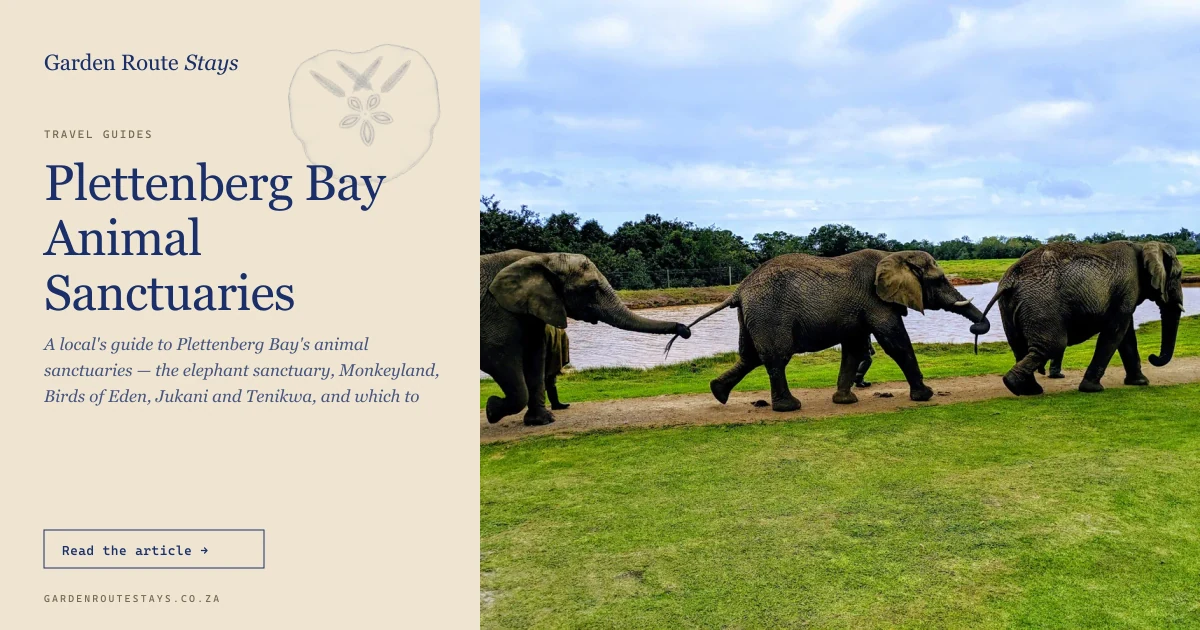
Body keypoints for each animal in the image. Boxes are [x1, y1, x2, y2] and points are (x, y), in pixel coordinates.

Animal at [481, 250, 691, 425]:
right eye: (591, 286)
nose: (684, 329)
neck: (541, 256)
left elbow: (535, 358)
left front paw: (541, 422)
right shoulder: (498, 312)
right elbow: (499, 358)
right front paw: (491, 410)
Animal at [667, 250, 991, 411]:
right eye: (938, 280)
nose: (976, 325)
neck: (896, 254)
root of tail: (739, 289)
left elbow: (855, 348)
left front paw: (844, 401)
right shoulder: (875, 300)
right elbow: (895, 341)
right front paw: (925, 396)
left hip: (751, 315)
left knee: (749, 357)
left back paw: (718, 393)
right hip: (770, 312)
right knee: (776, 357)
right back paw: (789, 407)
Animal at [979, 241, 1184, 396]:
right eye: (1179, 275)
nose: (1153, 356)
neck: (1143, 246)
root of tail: (1010, 280)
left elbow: (1126, 335)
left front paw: (1140, 382)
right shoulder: (1128, 287)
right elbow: (1116, 331)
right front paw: (1092, 389)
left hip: (1010, 306)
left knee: (1020, 347)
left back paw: (1027, 389)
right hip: (1040, 303)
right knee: (1053, 345)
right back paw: (1016, 386)